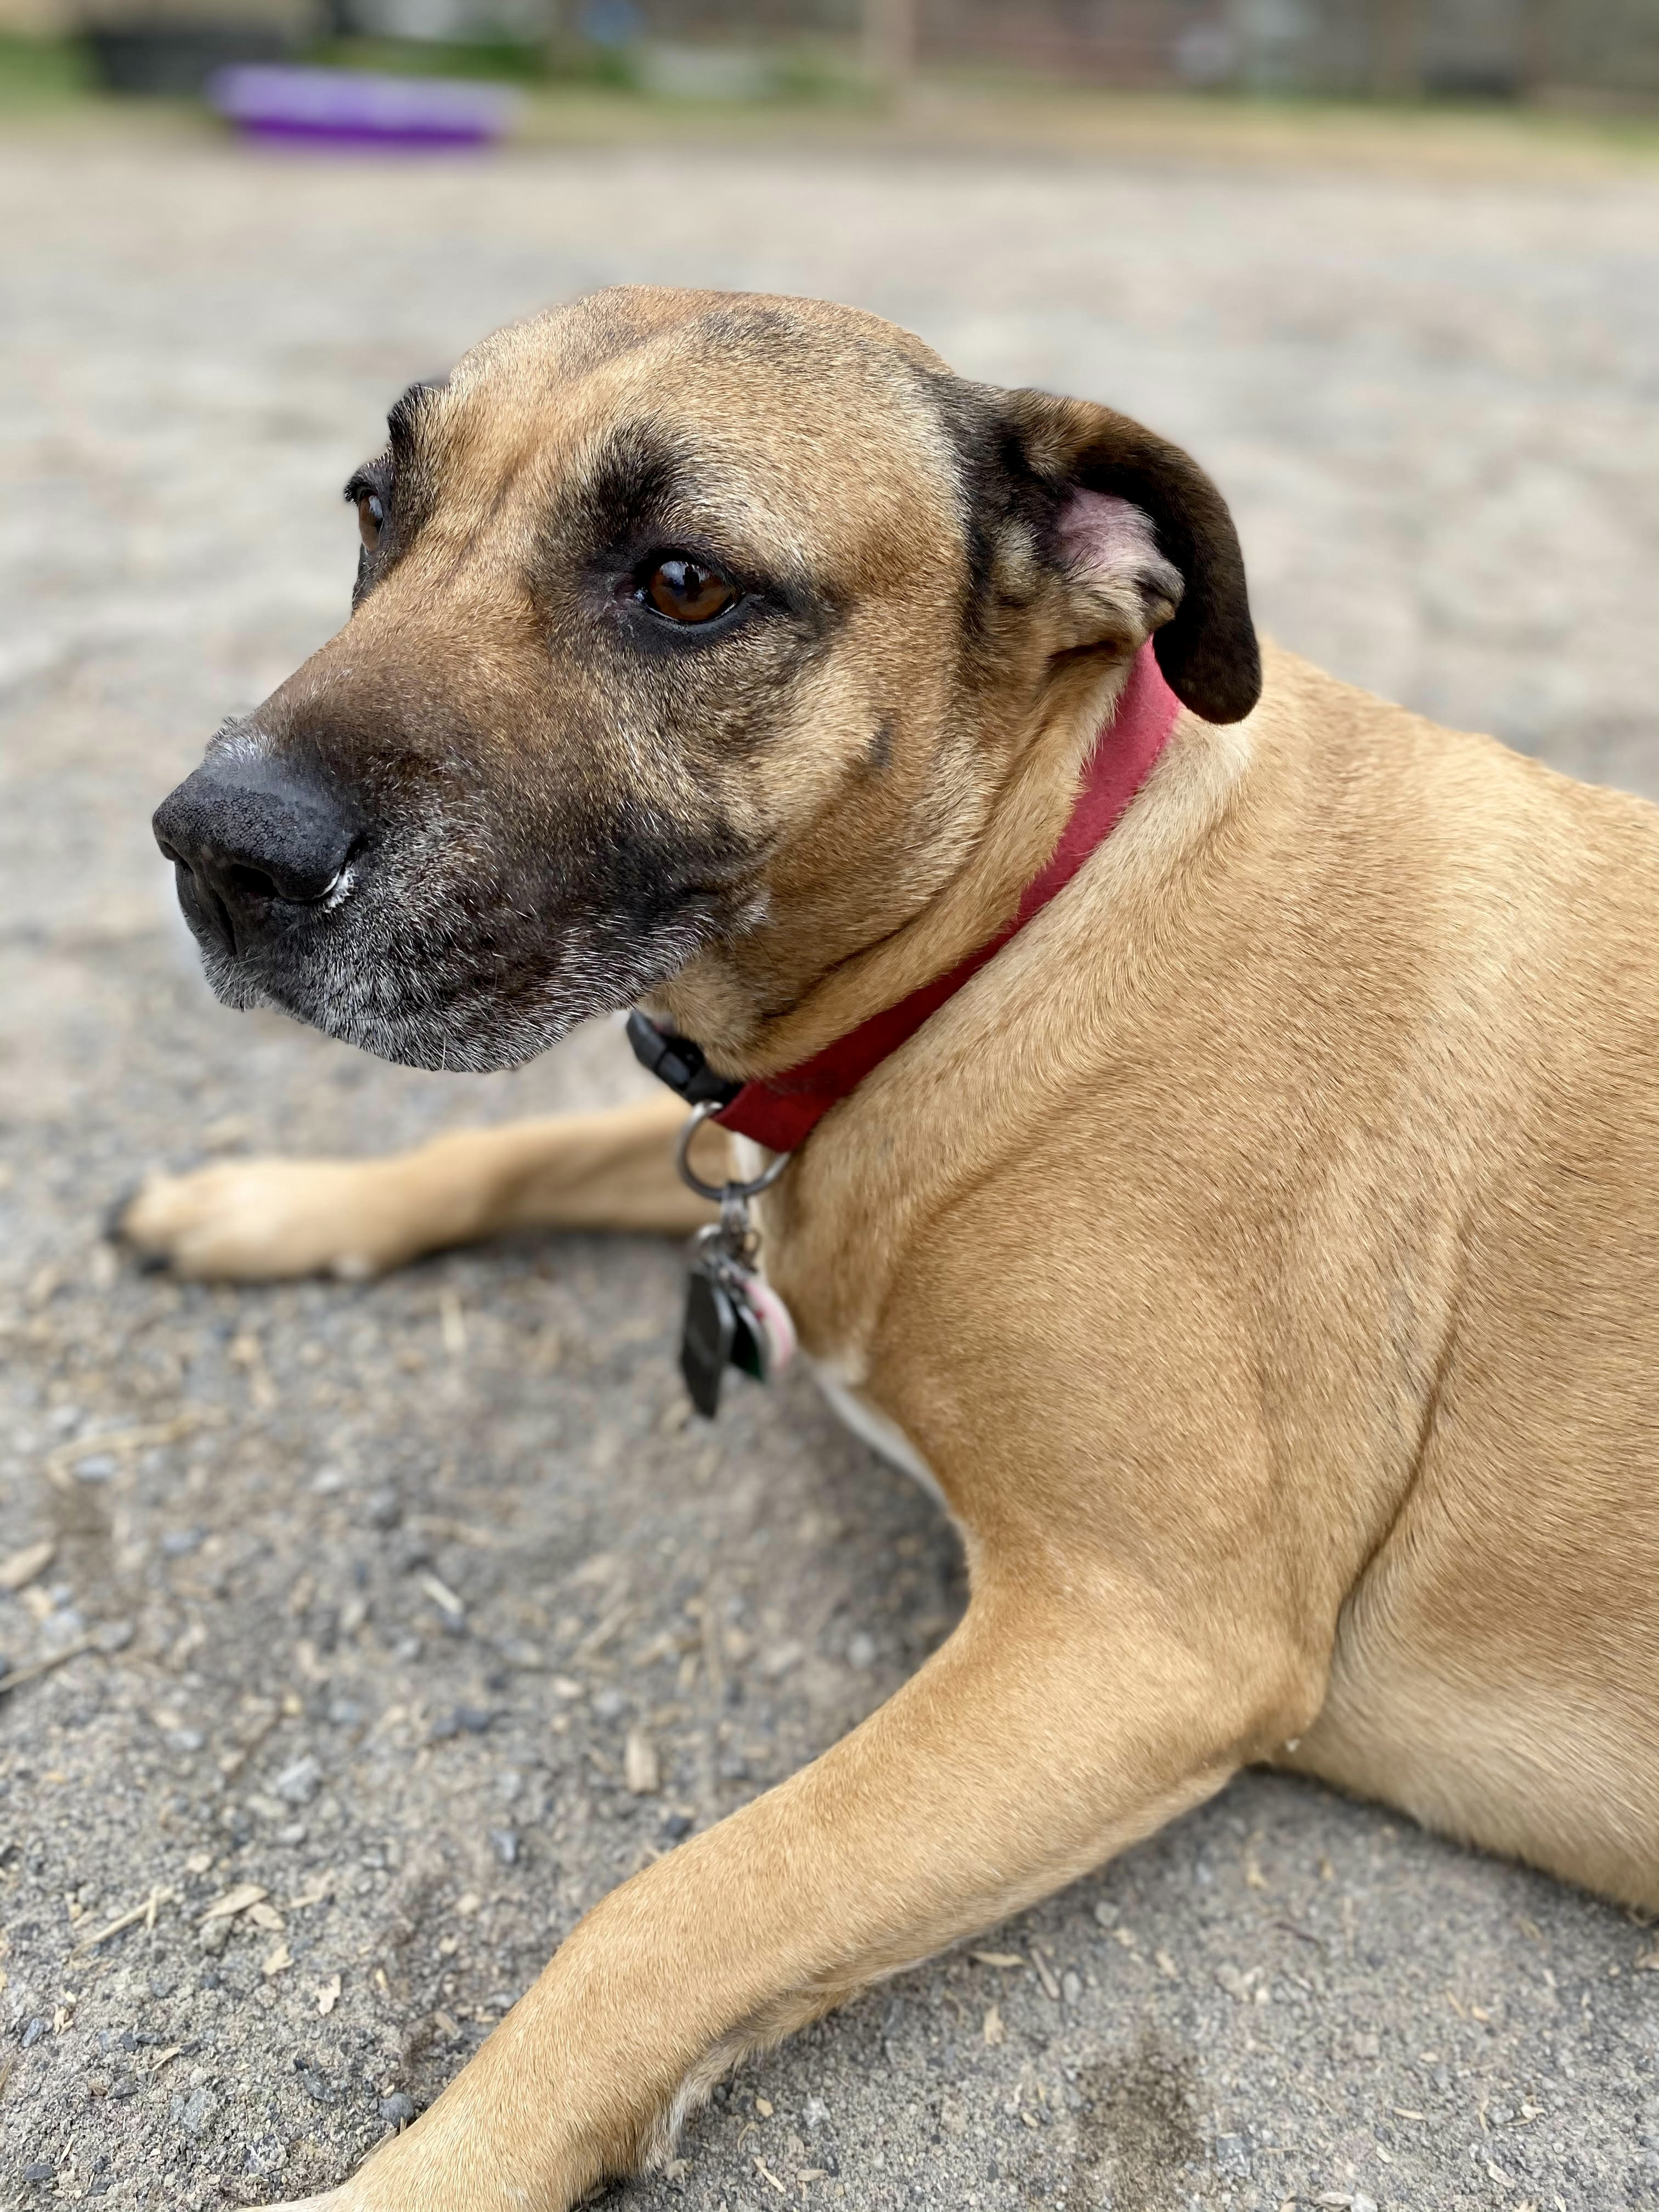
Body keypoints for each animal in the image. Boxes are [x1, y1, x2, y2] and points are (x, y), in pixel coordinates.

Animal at [123, 290, 1659, 2212]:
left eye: (686, 584)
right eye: (374, 506)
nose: (212, 847)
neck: (1021, 922)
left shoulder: (1140, 1643)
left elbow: (670, 1910)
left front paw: (426, 2179)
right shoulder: (772, 1151)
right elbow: (515, 1143)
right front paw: (269, 1203)